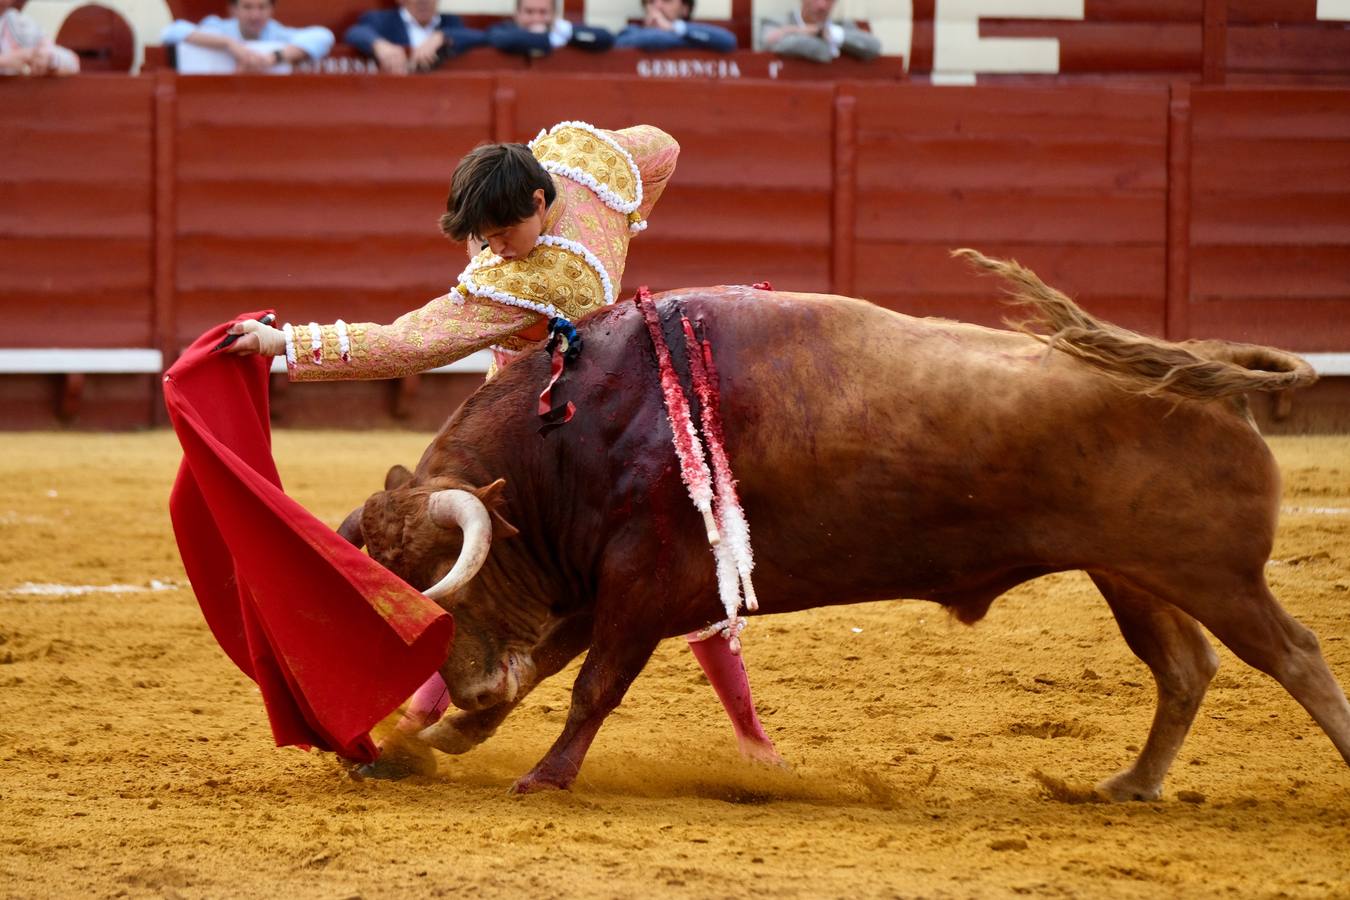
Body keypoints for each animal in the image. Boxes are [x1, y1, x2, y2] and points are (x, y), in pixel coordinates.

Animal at [340, 252, 1350, 793]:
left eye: (445, 573)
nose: (469, 685)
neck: (580, 424)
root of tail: (1201, 365)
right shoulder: (603, 587)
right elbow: (550, 663)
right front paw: (435, 739)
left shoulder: (641, 580)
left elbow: (592, 685)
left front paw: (539, 775)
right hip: (1134, 573)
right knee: (1185, 668)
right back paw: (1132, 785)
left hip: (1215, 575)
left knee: (1293, 654)